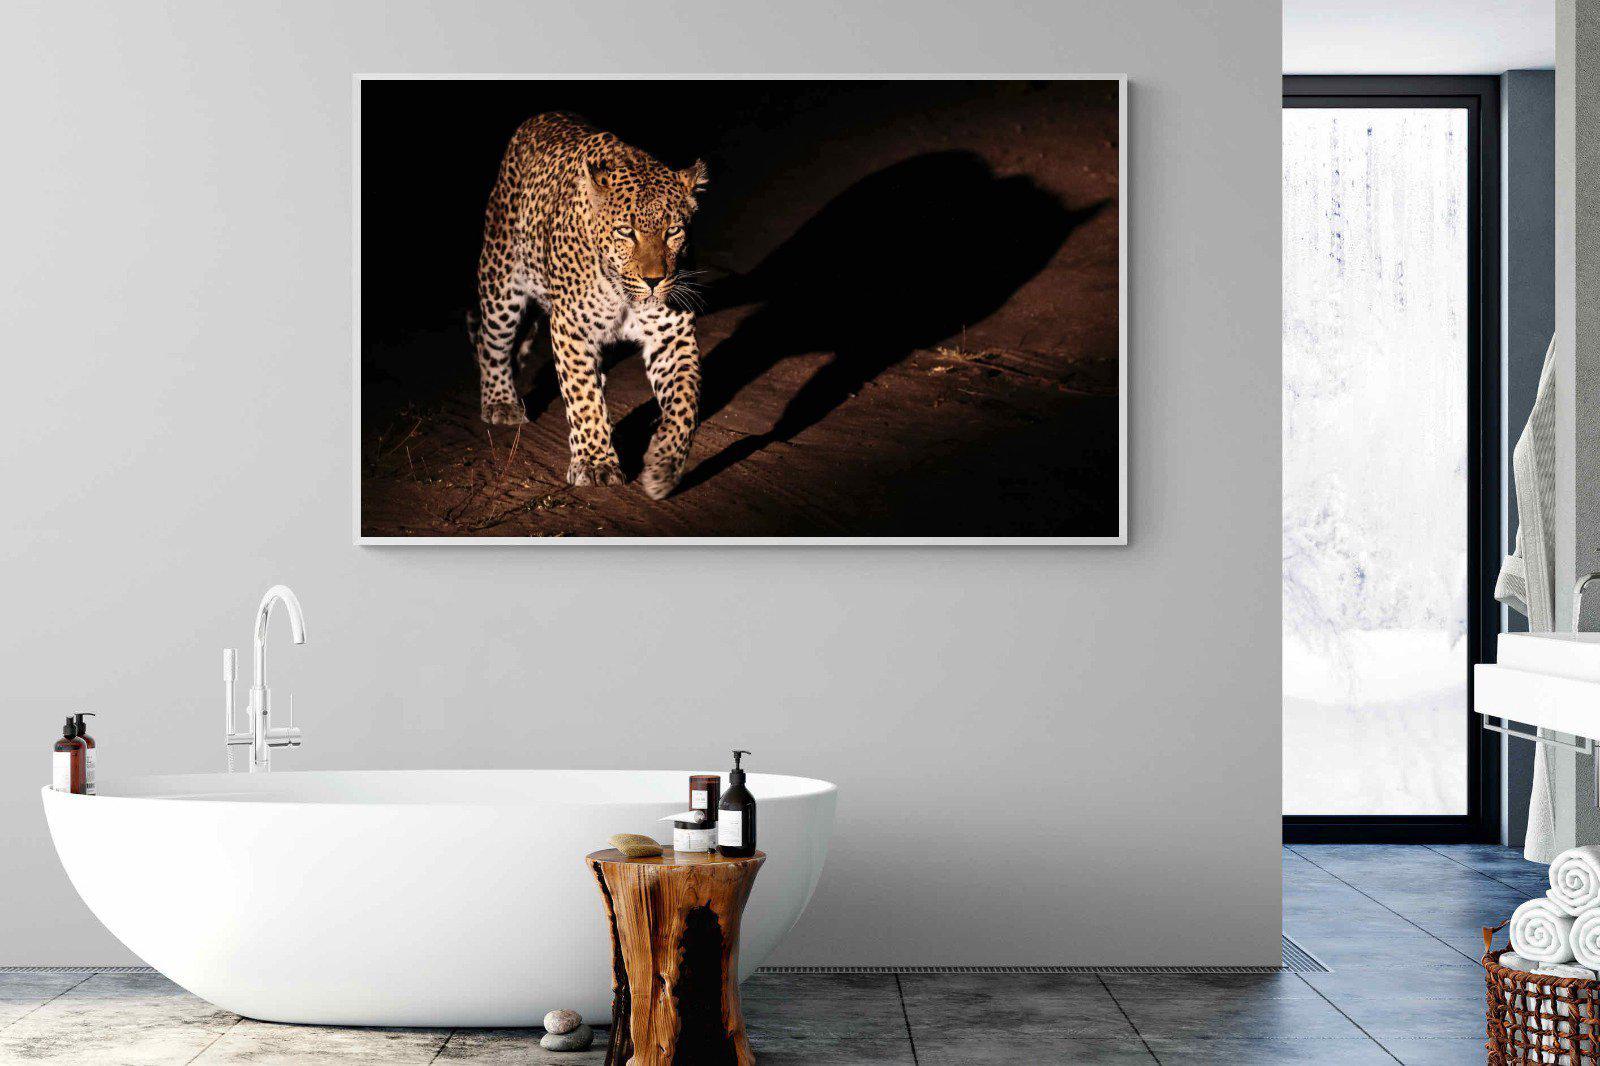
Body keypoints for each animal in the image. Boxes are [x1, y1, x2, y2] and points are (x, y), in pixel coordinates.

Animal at [472, 112, 708, 501]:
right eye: (626, 232)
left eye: (674, 231)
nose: (654, 280)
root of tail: (540, 117)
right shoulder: (572, 328)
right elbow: (582, 398)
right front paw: (596, 464)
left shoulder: (671, 335)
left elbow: (684, 403)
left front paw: (664, 466)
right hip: (501, 281)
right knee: (490, 342)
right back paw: (500, 403)